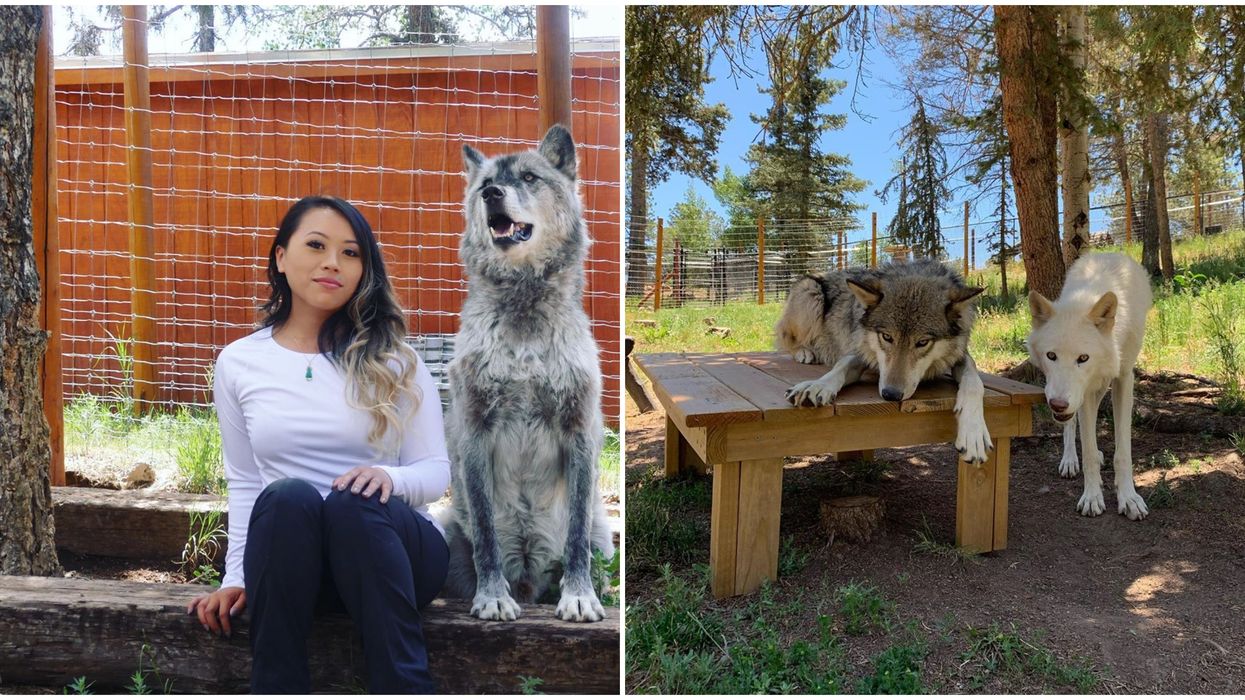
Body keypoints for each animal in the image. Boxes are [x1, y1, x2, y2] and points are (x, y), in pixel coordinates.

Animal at [440, 125, 614, 622]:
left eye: (530, 178)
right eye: (485, 185)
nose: (492, 195)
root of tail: (529, 574)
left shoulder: (579, 430)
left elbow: (575, 538)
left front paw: (579, 597)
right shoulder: (474, 432)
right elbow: (485, 534)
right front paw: (492, 597)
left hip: (605, 535)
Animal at [778, 258, 993, 463]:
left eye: (922, 342)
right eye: (887, 337)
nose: (891, 394)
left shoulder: (960, 356)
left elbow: (974, 382)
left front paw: (973, 433)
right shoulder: (861, 353)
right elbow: (840, 367)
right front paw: (817, 386)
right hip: (811, 293)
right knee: (787, 340)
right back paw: (805, 352)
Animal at [1027, 252, 1152, 520]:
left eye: (1083, 358)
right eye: (1051, 355)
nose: (1057, 405)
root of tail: (1107, 253)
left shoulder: (1124, 378)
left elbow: (1123, 452)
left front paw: (1129, 498)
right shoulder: (1080, 395)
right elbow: (1087, 447)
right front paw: (1092, 497)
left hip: (1098, 386)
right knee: (1073, 427)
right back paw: (1070, 460)